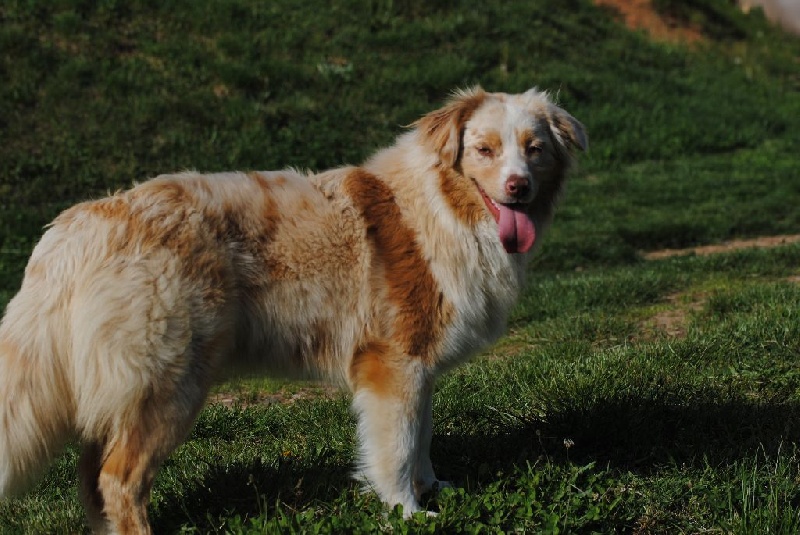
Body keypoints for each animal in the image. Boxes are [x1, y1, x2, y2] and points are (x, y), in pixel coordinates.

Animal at [1, 88, 588, 532]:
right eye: (484, 149)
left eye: (534, 149)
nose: (518, 187)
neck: (443, 208)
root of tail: (77, 226)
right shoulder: (392, 366)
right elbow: (396, 449)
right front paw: (407, 512)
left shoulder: (418, 368)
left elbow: (421, 438)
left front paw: (432, 488)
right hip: (167, 388)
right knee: (117, 480)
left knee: (90, 476)